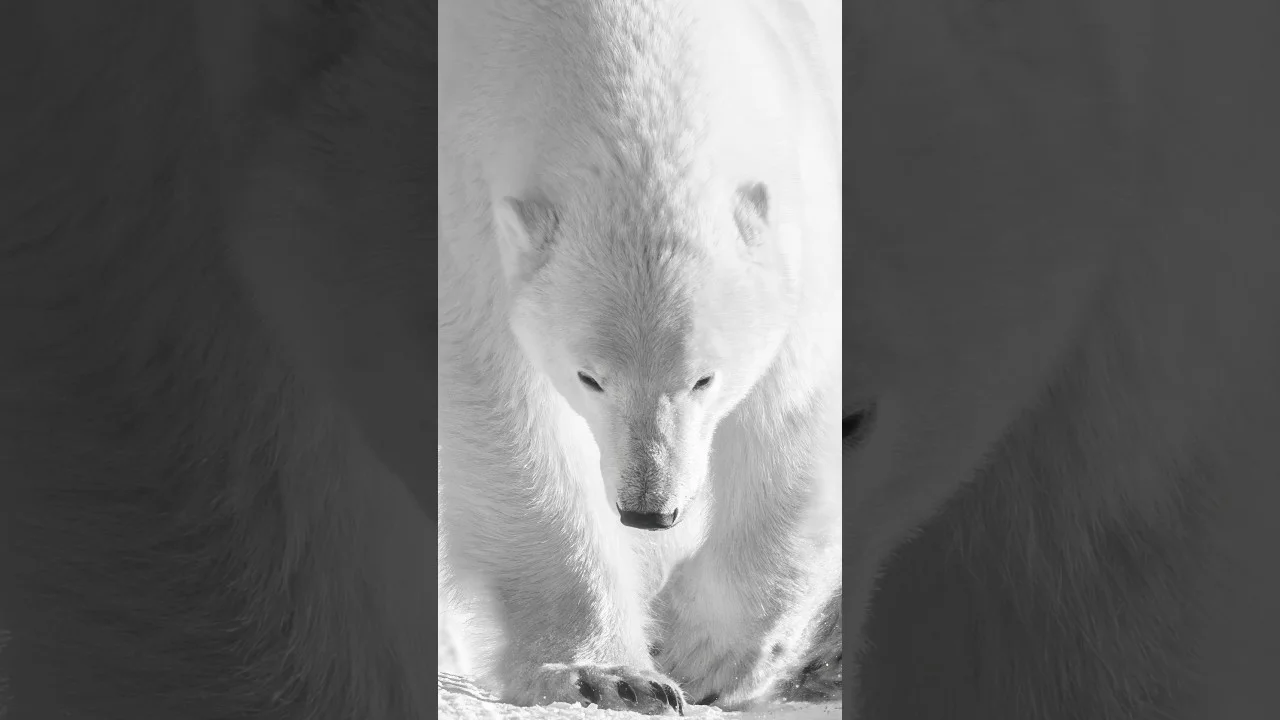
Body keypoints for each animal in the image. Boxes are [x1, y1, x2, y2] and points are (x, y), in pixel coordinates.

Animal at [436, 0, 842, 713]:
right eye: (589, 378)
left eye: (705, 377)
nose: (648, 508)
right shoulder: (467, 200)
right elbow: (499, 407)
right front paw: (611, 675)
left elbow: (793, 404)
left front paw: (704, 653)